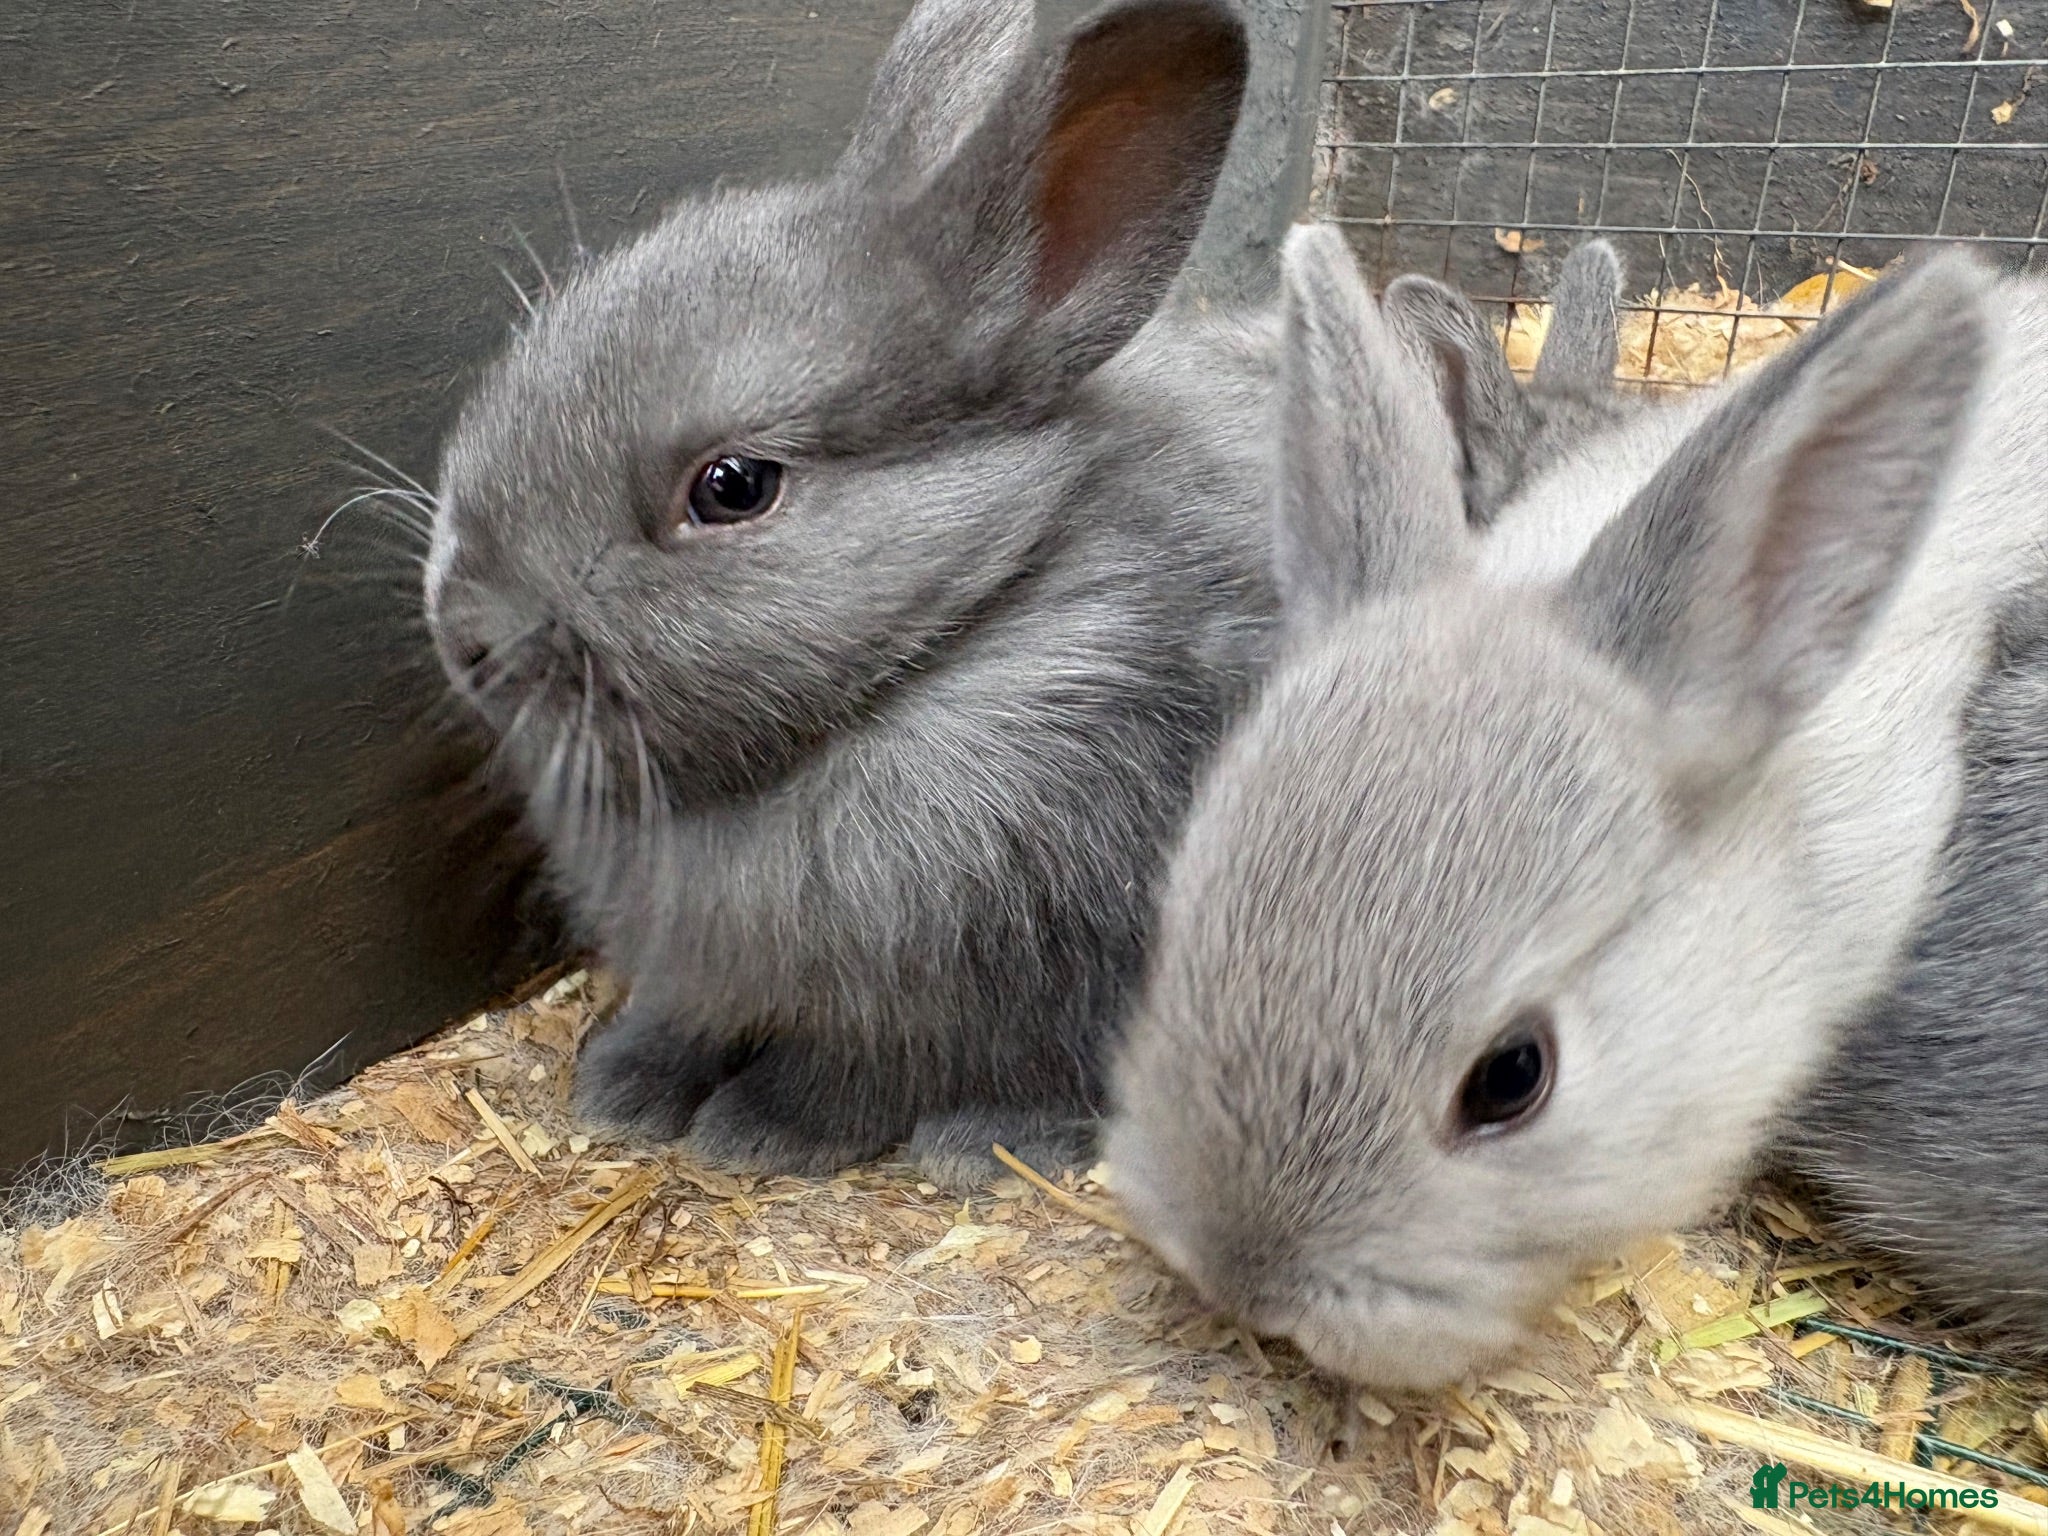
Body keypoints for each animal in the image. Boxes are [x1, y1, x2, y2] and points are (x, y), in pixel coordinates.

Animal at [421, 0, 1281, 1187]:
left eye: (732, 487)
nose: (466, 636)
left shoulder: (948, 989)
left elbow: (863, 1075)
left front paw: (760, 1131)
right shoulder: (708, 972)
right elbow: (685, 1019)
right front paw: (624, 1087)